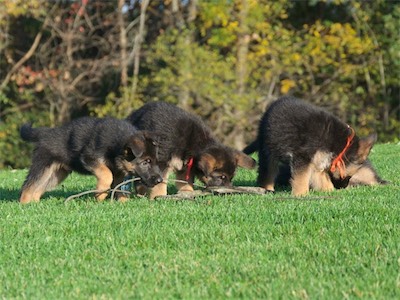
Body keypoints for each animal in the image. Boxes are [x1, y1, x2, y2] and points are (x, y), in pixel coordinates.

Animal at [18, 116, 162, 203]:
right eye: (145, 162)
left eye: (155, 160)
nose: (160, 180)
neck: (117, 145)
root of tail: (46, 133)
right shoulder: (89, 158)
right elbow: (106, 174)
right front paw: (100, 194)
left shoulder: (119, 172)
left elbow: (118, 187)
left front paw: (123, 201)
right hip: (43, 167)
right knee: (29, 185)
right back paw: (24, 204)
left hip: (56, 175)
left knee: (39, 188)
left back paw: (35, 204)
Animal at [126, 101, 255, 199]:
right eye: (221, 177)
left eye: (230, 178)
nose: (229, 193)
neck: (194, 144)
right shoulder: (161, 163)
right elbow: (160, 183)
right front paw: (158, 197)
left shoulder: (185, 166)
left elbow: (185, 181)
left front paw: (187, 194)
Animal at [244, 96, 382, 197]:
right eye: (348, 175)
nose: (342, 187)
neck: (339, 145)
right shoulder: (302, 157)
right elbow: (302, 178)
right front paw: (301, 195)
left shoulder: (318, 162)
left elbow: (322, 179)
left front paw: (329, 191)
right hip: (269, 151)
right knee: (267, 172)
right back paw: (267, 188)